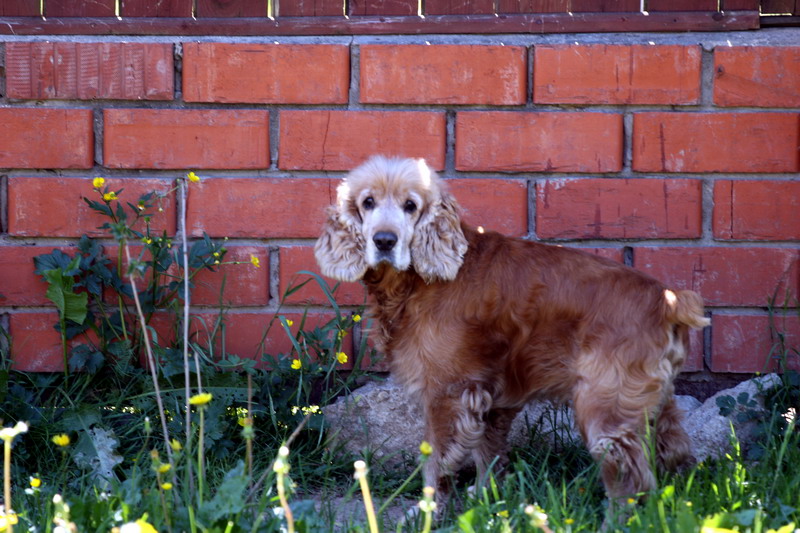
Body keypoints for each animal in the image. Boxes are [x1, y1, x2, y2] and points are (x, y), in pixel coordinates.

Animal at [316, 154, 708, 502]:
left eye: (410, 206)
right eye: (368, 202)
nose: (384, 240)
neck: (415, 282)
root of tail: (668, 299)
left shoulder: (448, 392)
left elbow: (437, 462)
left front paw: (427, 510)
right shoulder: (489, 397)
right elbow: (487, 452)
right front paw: (485, 497)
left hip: (605, 409)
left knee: (631, 482)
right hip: (652, 403)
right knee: (672, 453)